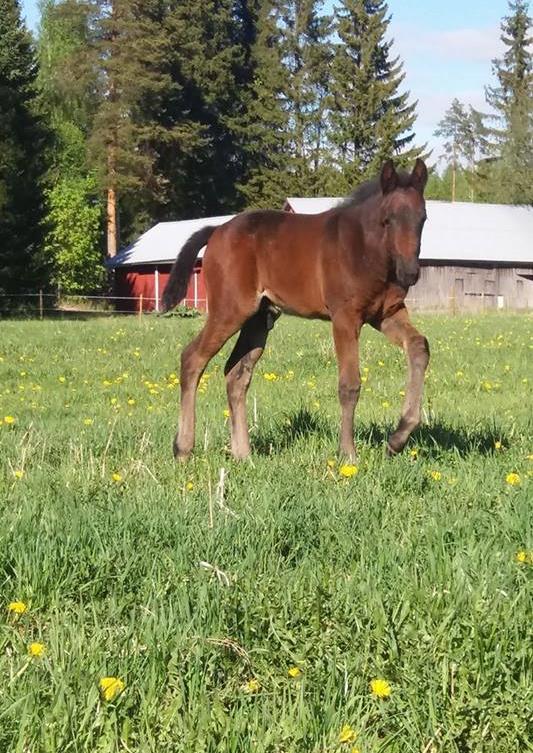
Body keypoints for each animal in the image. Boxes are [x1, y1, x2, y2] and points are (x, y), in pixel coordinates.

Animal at [161, 159, 428, 458]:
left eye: (422, 219)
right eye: (387, 220)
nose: (409, 273)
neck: (364, 248)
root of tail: (216, 230)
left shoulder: (386, 313)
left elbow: (419, 346)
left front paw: (398, 438)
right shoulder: (345, 317)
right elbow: (349, 384)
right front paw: (348, 453)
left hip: (259, 318)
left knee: (236, 374)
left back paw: (243, 454)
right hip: (229, 310)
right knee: (192, 358)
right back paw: (183, 448)